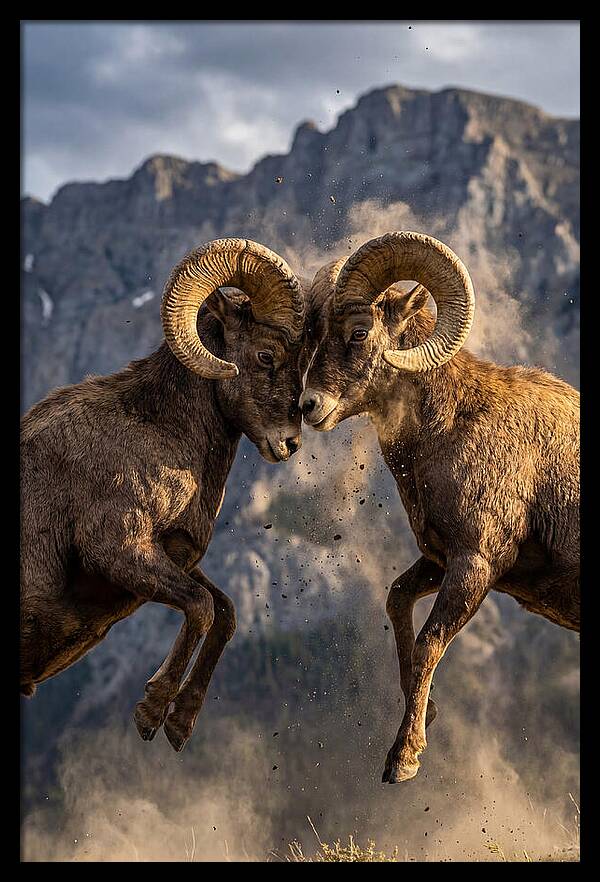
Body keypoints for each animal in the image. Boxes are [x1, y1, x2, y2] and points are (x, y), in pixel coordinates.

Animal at [21, 237, 307, 752]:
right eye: (265, 355)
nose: (290, 443)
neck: (159, 429)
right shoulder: (118, 551)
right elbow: (201, 607)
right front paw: (152, 712)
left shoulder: (172, 557)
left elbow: (224, 612)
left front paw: (180, 724)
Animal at [300, 231, 579, 783]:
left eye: (359, 331)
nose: (308, 406)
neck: (451, 428)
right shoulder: (438, 560)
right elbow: (397, 601)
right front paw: (425, 713)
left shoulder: (475, 565)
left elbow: (430, 643)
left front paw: (404, 759)